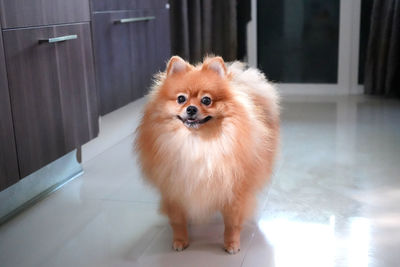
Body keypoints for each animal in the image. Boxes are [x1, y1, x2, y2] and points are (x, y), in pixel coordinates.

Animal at [134, 55, 278, 254]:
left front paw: (231, 244)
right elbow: (177, 221)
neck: (196, 143)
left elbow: (232, 223)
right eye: (181, 99)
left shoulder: (234, 191)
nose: (191, 109)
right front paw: (180, 240)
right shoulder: (174, 190)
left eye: (206, 100)